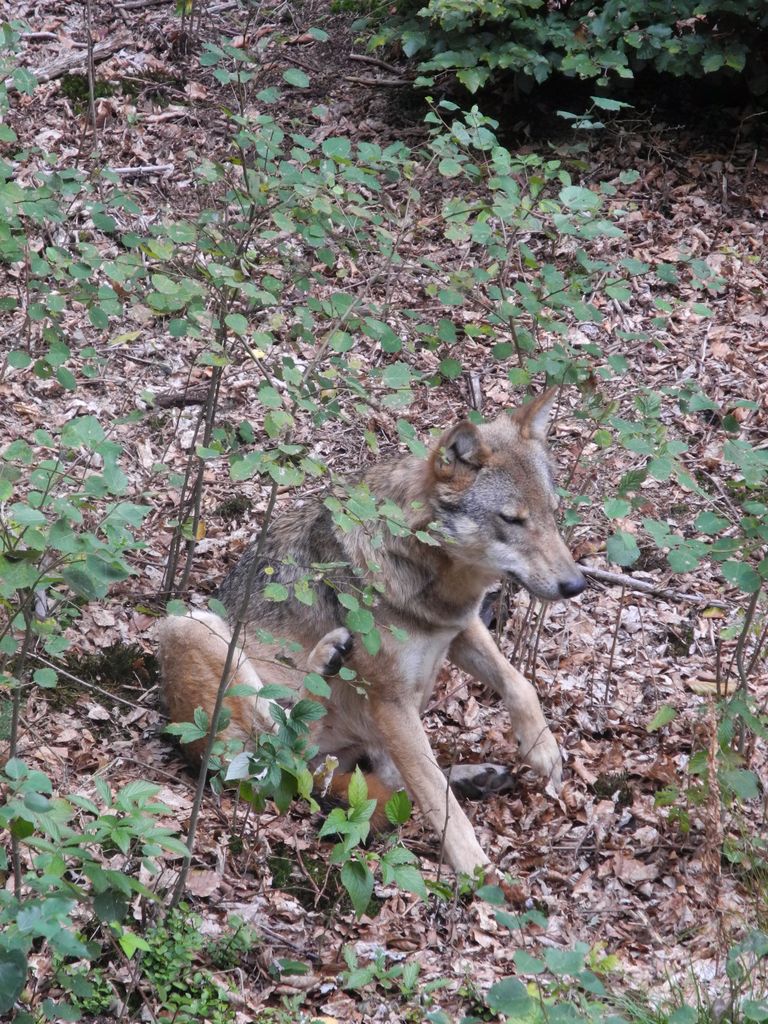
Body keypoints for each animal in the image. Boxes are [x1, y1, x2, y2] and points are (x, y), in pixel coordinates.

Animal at [157, 389, 589, 872]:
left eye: (552, 514)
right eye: (512, 520)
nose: (576, 585)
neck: (420, 565)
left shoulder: (458, 629)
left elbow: (518, 683)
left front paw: (542, 748)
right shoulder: (390, 701)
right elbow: (439, 800)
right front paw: (477, 871)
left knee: (364, 774)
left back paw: (477, 775)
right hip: (192, 625)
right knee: (283, 754)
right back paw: (326, 658)